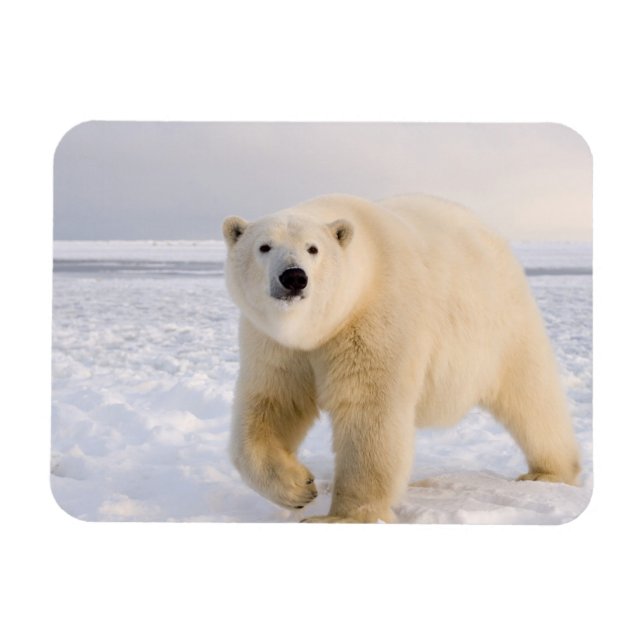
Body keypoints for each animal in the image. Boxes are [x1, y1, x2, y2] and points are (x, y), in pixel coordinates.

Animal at [222, 193, 580, 523]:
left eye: (313, 249)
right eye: (264, 247)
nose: (294, 277)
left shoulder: (376, 319)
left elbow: (368, 409)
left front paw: (342, 516)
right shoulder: (274, 342)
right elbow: (274, 402)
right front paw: (299, 487)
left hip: (502, 324)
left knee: (531, 396)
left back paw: (549, 471)